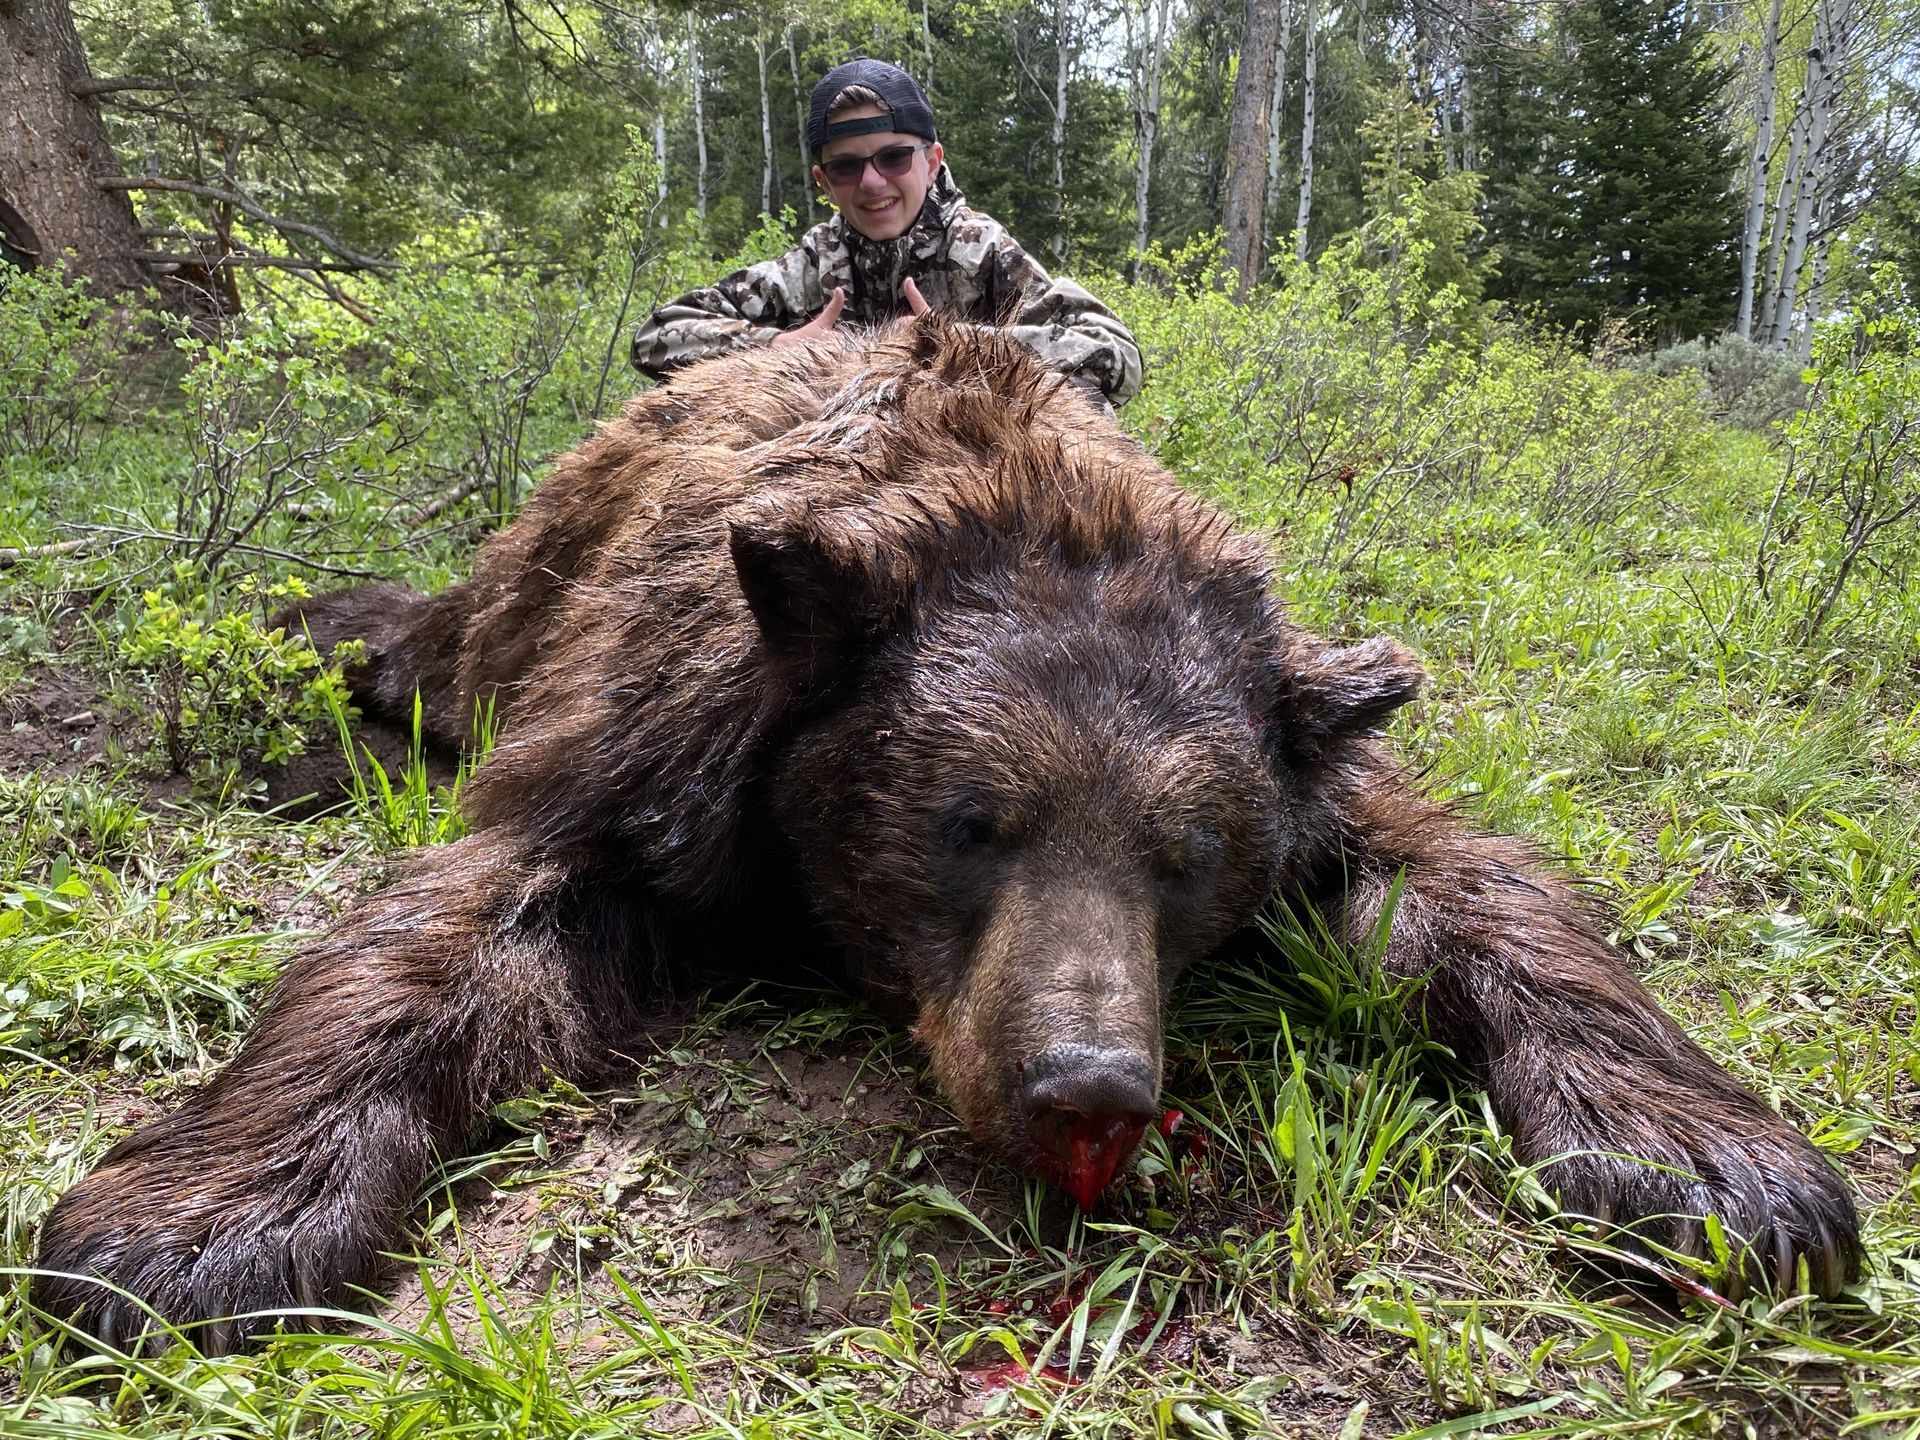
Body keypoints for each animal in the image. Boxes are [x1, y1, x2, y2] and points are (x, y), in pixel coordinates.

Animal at [34, 317, 1859, 1352]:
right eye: (969, 822)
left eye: (1190, 862)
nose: (1089, 1089)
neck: (1009, 492)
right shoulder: (655, 732)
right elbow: (457, 922)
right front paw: (192, 1226)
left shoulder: (1316, 745)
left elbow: (1474, 888)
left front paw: (1714, 1165)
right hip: (514, 587)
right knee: (414, 644)